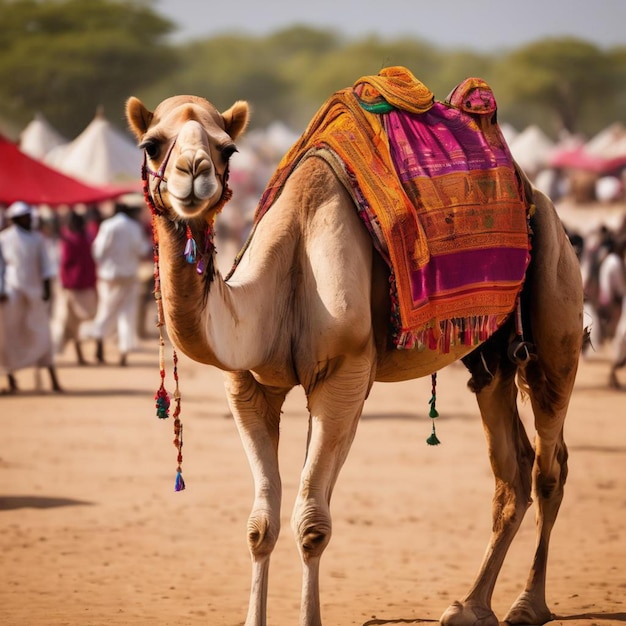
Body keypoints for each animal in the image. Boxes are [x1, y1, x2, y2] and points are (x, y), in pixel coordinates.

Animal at [124, 69, 584, 624]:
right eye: (151, 144)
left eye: (227, 148)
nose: (193, 173)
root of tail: (537, 194)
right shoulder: (249, 388)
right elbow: (261, 523)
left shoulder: (343, 378)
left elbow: (311, 522)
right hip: (491, 359)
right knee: (510, 467)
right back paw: (470, 606)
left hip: (556, 308)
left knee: (549, 465)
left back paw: (527, 605)